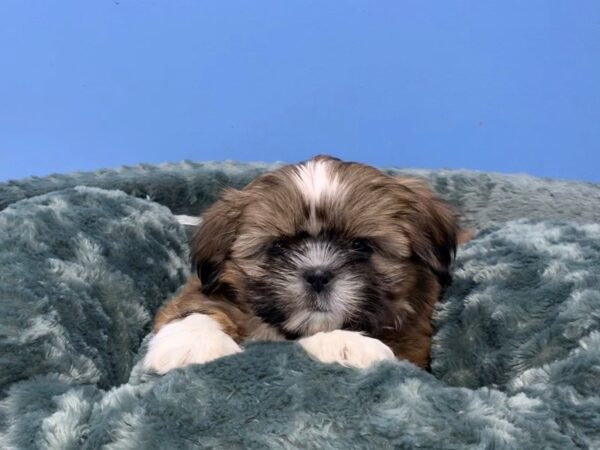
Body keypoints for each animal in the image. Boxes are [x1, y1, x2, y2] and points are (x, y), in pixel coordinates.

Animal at [143, 155, 462, 372]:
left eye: (360, 246)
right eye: (279, 247)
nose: (317, 275)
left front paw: (345, 342)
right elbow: (195, 306)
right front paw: (192, 343)